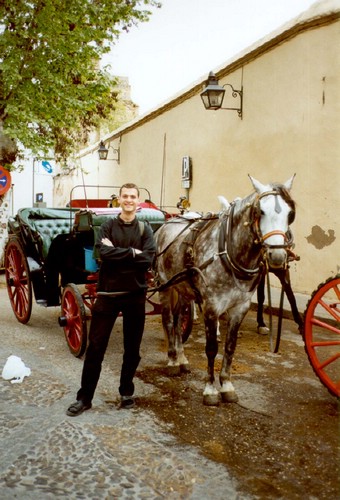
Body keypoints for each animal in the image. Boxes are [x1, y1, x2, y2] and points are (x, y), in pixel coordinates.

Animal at [155, 176, 296, 406]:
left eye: (290, 213)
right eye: (260, 212)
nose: (276, 256)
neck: (229, 252)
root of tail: (168, 222)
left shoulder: (240, 307)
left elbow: (230, 347)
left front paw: (227, 385)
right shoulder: (212, 306)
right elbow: (212, 348)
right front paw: (211, 389)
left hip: (184, 288)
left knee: (177, 321)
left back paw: (182, 358)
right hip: (165, 286)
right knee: (168, 320)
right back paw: (172, 360)